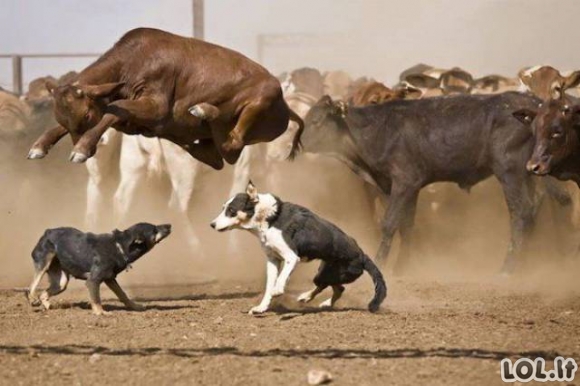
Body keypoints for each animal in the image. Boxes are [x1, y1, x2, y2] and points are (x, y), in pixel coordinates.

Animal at [27, 27, 304, 170]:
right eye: (62, 119)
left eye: (86, 114)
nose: (84, 148)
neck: (132, 63)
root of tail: (286, 107)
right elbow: (109, 111)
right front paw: (39, 145)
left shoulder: (155, 105)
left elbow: (115, 108)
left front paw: (81, 149)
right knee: (215, 157)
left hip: (262, 100)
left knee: (232, 146)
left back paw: (204, 110)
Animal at [27, 223, 171, 314]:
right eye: (154, 230)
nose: (169, 225)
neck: (119, 246)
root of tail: (48, 231)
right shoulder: (93, 280)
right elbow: (96, 299)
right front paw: (100, 312)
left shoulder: (110, 278)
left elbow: (122, 294)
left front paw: (135, 306)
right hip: (44, 263)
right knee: (32, 285)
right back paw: (32, 299)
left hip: (60, 282)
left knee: (43, 294)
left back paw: (48, 306)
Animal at [211, 182, 388, 316]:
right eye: (223, 208)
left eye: (231, 210)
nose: (212, 224)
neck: (271, 217)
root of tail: (362, 255)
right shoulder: (273, 259)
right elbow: (269, 285)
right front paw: (261, 307)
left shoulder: (291, 257)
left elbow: (281, 279)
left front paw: (278, 291)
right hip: (325, 271)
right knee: (338, 288)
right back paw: (314, 300)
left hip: (332, 274)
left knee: (331, 286)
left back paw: (307, 297)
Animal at [304, 93, 568, 274]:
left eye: (317, 120)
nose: (302, 143)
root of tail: (534, 103)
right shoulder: (409, 187)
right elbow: (406, 225)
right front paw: (403, 267)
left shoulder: (404, 182)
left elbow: (389, 224)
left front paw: (381, 263)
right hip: (527, 175)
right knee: (532, 211)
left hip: (509, 172)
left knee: (520, 213)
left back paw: (508, 268)